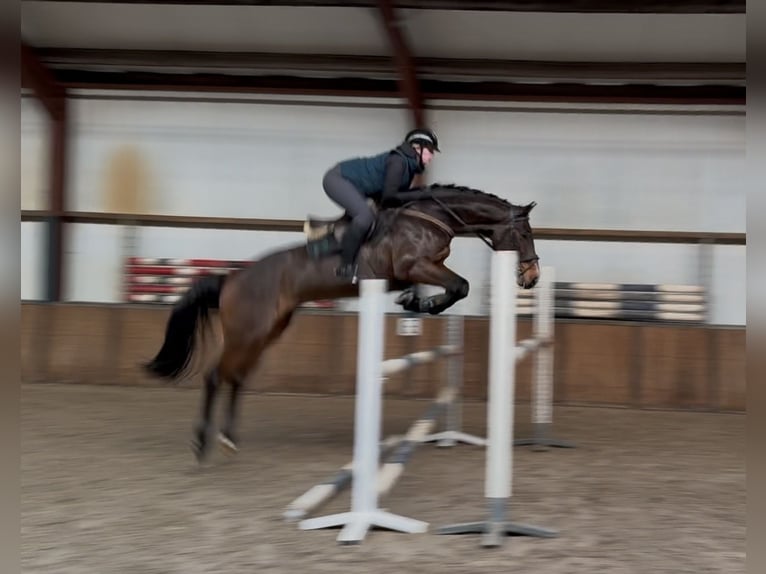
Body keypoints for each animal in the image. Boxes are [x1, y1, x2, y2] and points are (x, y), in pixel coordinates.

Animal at [143, 183, 540, 462]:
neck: (432, 215)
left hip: (267, 331)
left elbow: (448, 285)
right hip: (247, 331)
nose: (533, 278)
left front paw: (415, 301)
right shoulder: (415, 264)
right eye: (524, 234)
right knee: (215, 375)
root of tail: (231, 279)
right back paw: (201, 443)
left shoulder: (414, 270)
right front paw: (428, 304)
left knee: (236, 377)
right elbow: (460, 285)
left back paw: (227, 439)